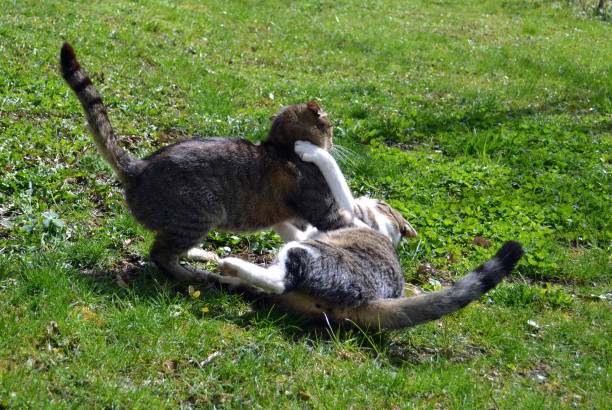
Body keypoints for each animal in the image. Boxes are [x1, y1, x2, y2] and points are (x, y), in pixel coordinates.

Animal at [61, 42, 354, 286]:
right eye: (330, 126)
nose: (333, 140)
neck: (281, 146)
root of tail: (139, 166)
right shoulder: (326, 212)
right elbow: (346, 222)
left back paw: (204, 256)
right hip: (201, 213)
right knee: (160, 254)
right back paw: (193, 276)